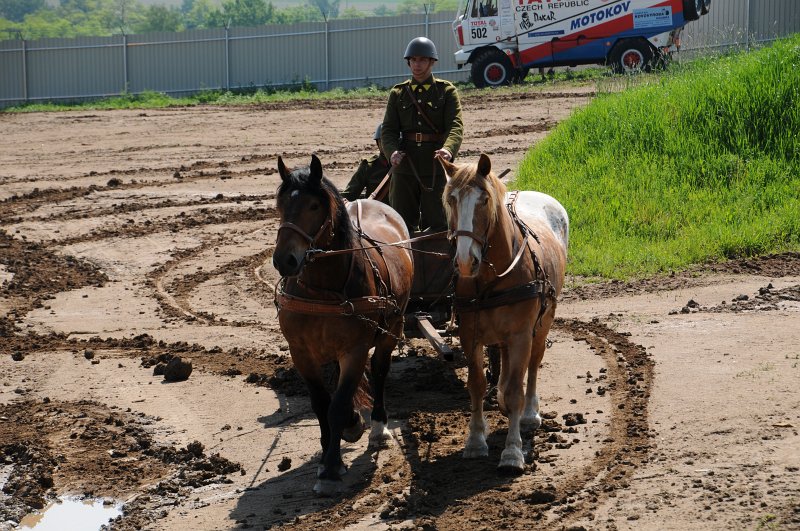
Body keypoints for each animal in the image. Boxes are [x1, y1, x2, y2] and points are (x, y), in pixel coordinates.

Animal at [274, 156, 412, 496]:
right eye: (280, 204)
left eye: (313, 206)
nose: (284, 260)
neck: (322, 291)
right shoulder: (301, 352)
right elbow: (322, 403)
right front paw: (330, 449)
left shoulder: (355, 349)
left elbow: (337, 404)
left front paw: (331, 468)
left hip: (393, 326)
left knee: (379, 371)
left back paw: (377, 426)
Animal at [438, 153, 568, 474]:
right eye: (452, 199)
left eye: (484, 200)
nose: (465, 261)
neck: (492, 278)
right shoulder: (470, 335)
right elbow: (476, 386)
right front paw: (475, 441)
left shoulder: (521, 334)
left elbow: (515, 389)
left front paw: (512, 451)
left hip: (543, 322)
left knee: (532, 364)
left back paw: (529, 414)